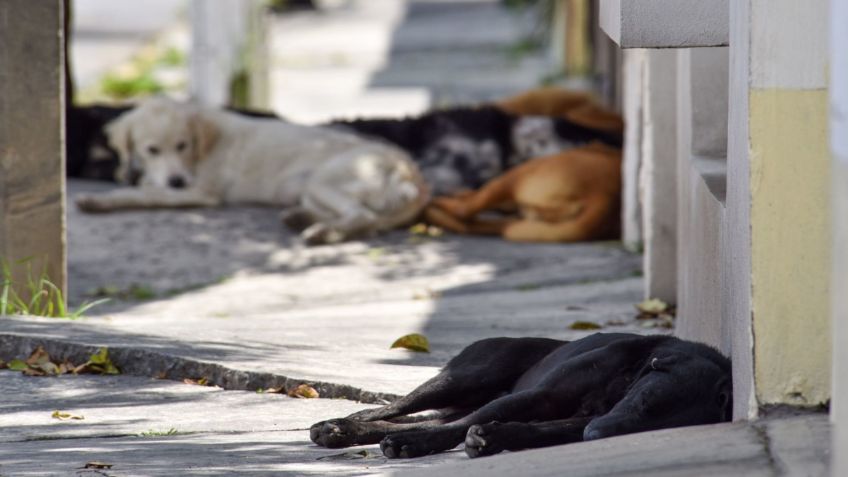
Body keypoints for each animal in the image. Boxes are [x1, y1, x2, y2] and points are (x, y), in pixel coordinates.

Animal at [75, 98, 428, 244]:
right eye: (152, 150)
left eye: (183, 145)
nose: (176, 180)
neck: (205, 144)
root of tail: (410, 171)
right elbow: (148, 184)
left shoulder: (202, 193)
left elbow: (145, 193)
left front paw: (100, 200)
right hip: (310, 190)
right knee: (369, 223)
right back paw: (303, 220)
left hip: (323, 181)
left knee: (363, 217)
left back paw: (321, 232)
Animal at [308, 330, 732, 458]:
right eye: (645, 402)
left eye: (653, 429)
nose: (594, 436)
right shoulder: (541, 396)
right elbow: (461, 426)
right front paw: (416, 444)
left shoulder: (575, 421)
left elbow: (536, 430)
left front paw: (494, 437)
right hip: (466, 376)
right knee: (396, 409)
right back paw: (339, 426)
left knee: (417, 419)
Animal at [428, 142, 620, 242]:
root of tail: (603, 196)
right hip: (524, 217)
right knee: (475, 223)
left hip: (517, 175)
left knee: (465, 211)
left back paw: (434, 206)